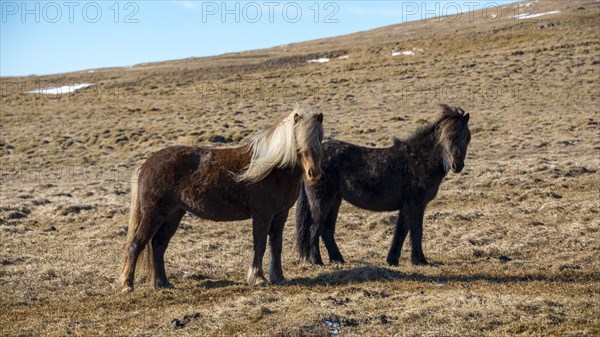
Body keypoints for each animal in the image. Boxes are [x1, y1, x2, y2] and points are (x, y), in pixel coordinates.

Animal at [118, 106, 324, 290]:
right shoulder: (262, 215)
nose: (313, 173)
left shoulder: (280, 214)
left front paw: (278, 277)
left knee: (158, 245)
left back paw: (163, 284)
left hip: (173, 215)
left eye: (320, 138)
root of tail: (146, 165)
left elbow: (276, 245)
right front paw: (258, 278)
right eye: (298, 140)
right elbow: (260, 245)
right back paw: (128, 285)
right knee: (136, 244)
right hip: (153, 215)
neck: (272, 168)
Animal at [298, 104, 472, 266]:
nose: (457, 165)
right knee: (315, 228)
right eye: (446, 137)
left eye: (466, 137)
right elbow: (416, 231)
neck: (418, 160)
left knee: (326, 229)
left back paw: (338, 260)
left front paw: (393, 260)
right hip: (322, 201)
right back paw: (317, 261)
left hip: (335, 200)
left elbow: (401, 231)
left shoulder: (407, 206)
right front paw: (420, 260)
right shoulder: (416, 204)